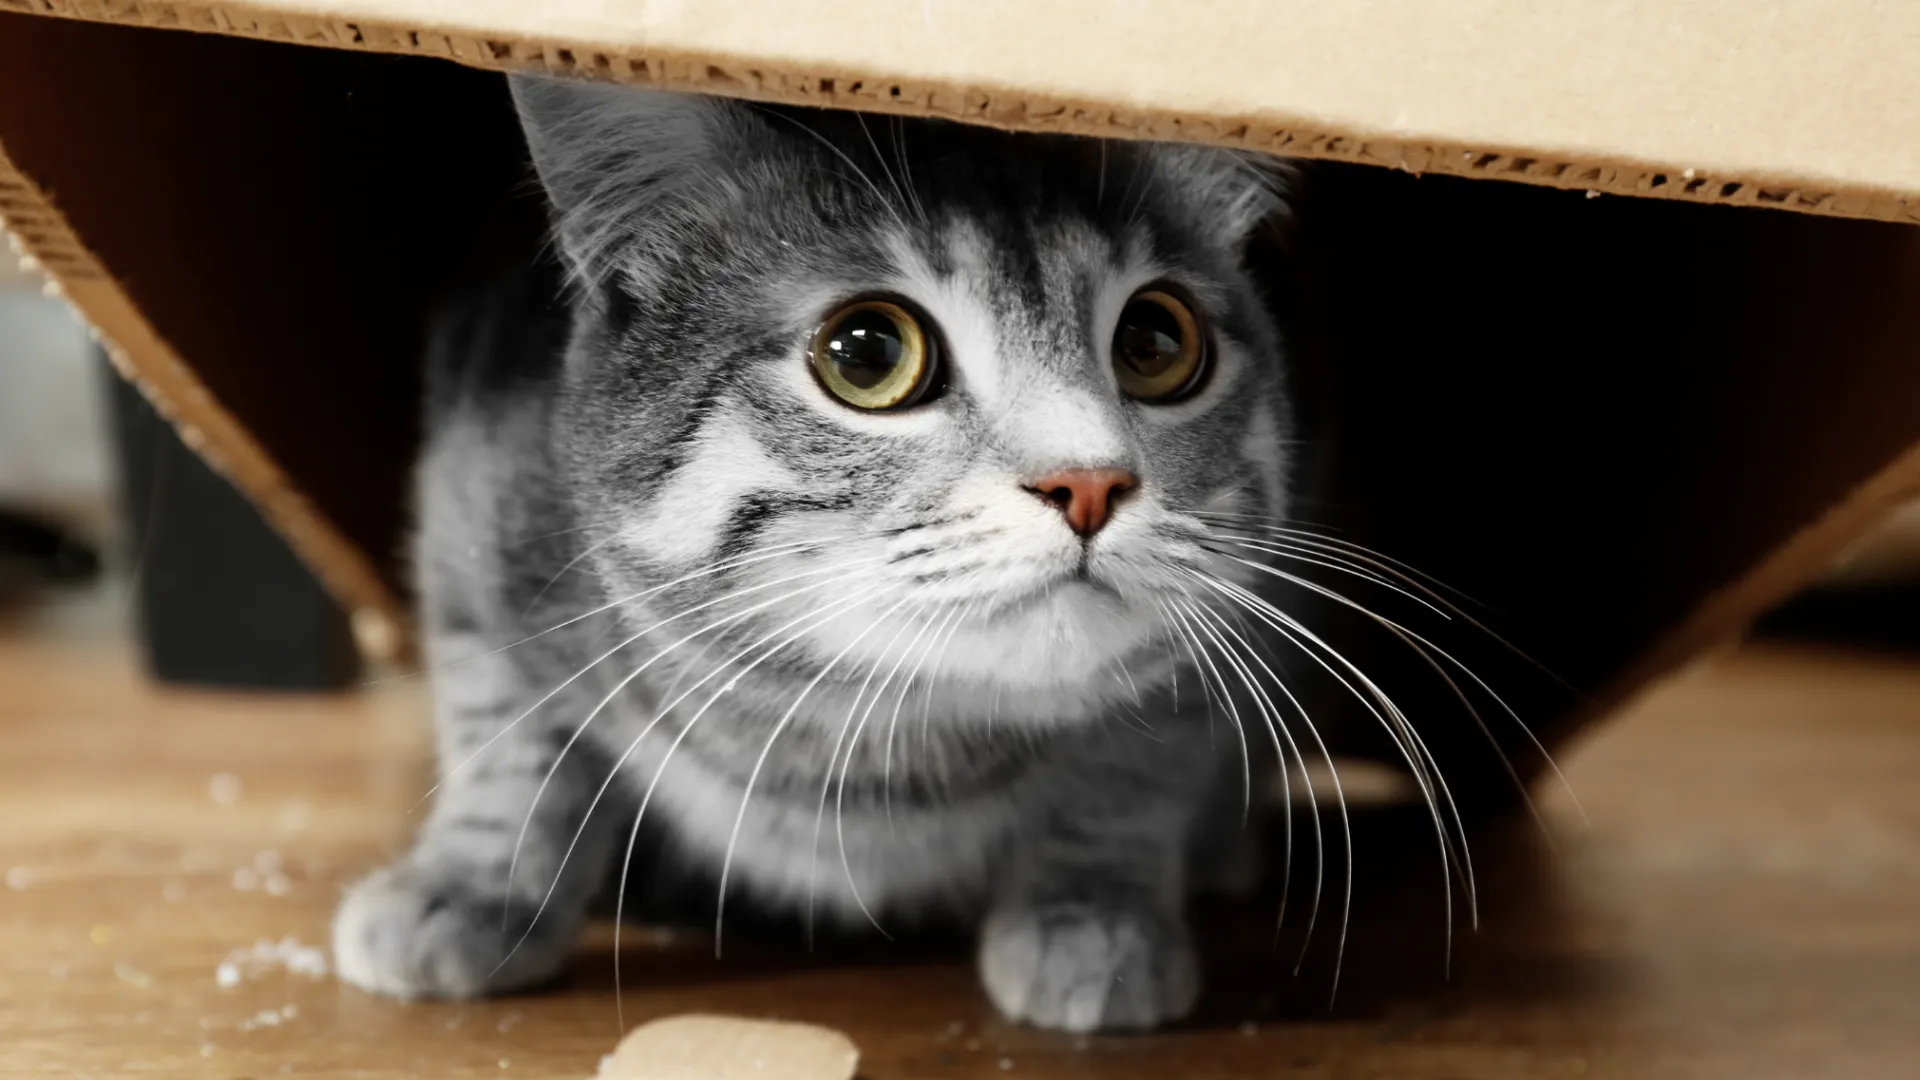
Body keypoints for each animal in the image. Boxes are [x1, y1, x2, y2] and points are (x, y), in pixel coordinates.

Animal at [334, 71, 1320, 1030]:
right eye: (867, 352)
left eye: (1158, 340)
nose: (1087, 481)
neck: (887, 732)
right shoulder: (469, 528)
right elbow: (506, 737)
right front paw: (466, 886)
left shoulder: (1220, 645)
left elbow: (1131, 773)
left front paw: (1093, 914)